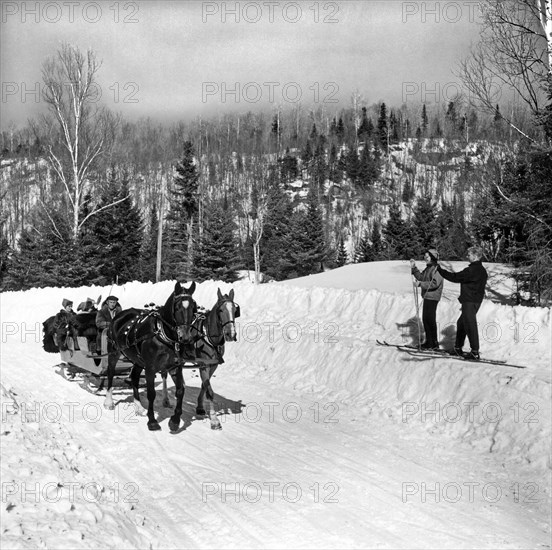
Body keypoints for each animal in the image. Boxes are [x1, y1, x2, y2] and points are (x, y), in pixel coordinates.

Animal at [106, 282, 197, 434]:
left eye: (193, 306)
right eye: (177, 307)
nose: (185, 337)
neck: (162, 334)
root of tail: (119, 315)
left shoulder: (175, 367)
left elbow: (180, 391)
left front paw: (174, 421)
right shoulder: (150, 368)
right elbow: (151, 394)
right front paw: (153, 421)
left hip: (137, 359)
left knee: (135, 377)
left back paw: (138, 406)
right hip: (113, 352)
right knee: (110, 373)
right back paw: (108, 401)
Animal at [162, 286, 242, 434]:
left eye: (235, 310)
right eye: (220, 310)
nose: (230, 334)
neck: (208, 335)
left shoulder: (212, 365)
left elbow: (205, 385)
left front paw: (199, 407)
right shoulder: (203, 364)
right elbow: (209, 391)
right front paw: (215, 421)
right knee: (164, 374)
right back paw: (165, 399)